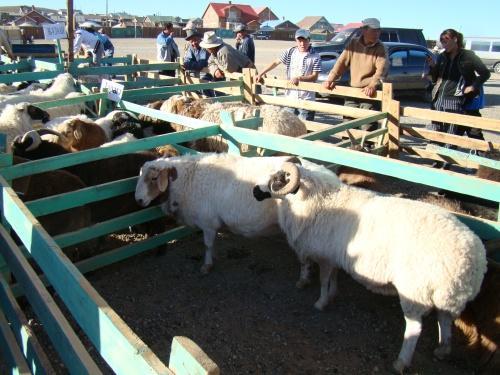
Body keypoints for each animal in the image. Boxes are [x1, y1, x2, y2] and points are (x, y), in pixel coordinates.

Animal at [135, 153, 298, 274]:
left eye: (154, 178)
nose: (138, 200)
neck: (188, 180)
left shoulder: (207, 222)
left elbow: (207, 245)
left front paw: (207, 265)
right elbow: (212, 244)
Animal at [252, 161, 486, 374]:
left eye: (277, 179)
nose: (254, 191)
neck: (319, 201)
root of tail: (472, 261)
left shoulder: (325, 258)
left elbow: (324, 280)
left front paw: (321, 302)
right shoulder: (335, 257)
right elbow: (334, 277)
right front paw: (333, 295)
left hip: (415, 292)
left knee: (415, 328)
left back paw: (401, 363)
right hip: (446, 294)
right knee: (445, 321)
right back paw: (442, 351)